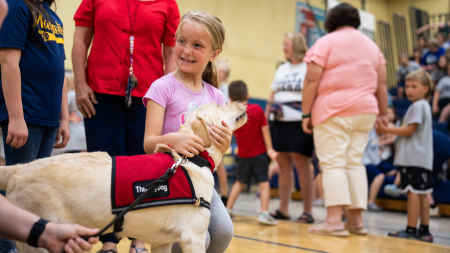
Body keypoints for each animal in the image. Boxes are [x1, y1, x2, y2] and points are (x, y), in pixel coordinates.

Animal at [0, 102, 246, 252]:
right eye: (220, 105)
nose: (243, 102)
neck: (191, 159)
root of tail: (18, 169)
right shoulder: (193, 238)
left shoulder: (163, 242)